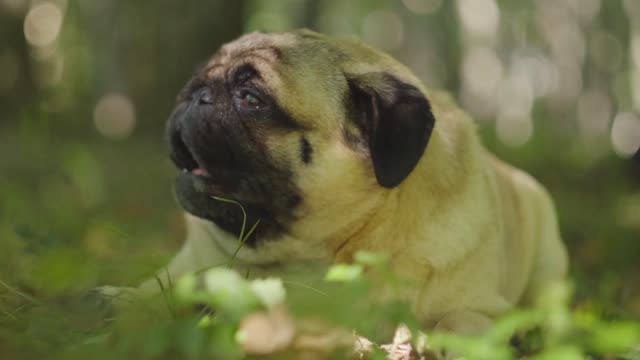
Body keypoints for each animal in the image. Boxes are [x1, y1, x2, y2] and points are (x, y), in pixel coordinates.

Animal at [107, 29, 568, 334]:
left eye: (251, 99)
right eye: (199, 81)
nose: (195, 94)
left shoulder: (484, 310)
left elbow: (458, 322)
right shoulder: (186, 269)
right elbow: (156, 291)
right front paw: (119, 301)